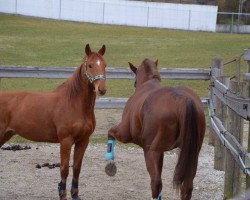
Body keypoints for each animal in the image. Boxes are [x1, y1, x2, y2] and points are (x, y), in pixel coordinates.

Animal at [0, 44, 106, 200]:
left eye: (105, 65)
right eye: (90, 65)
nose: (102, 89)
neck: (73, 103)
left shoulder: (83, 140)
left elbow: (76, 168)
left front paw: (75, 195)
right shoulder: (66, 140)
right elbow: (64, 169)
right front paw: (62, 194)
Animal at [105, 58, 205, 200]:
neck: (148, 82)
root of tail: (182, 100)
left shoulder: (125, 133)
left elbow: (110, 132)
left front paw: (109, 162)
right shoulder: (162, 152)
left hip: (151, 151)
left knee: (156, 183)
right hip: (192, 153)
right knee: (187, 186)